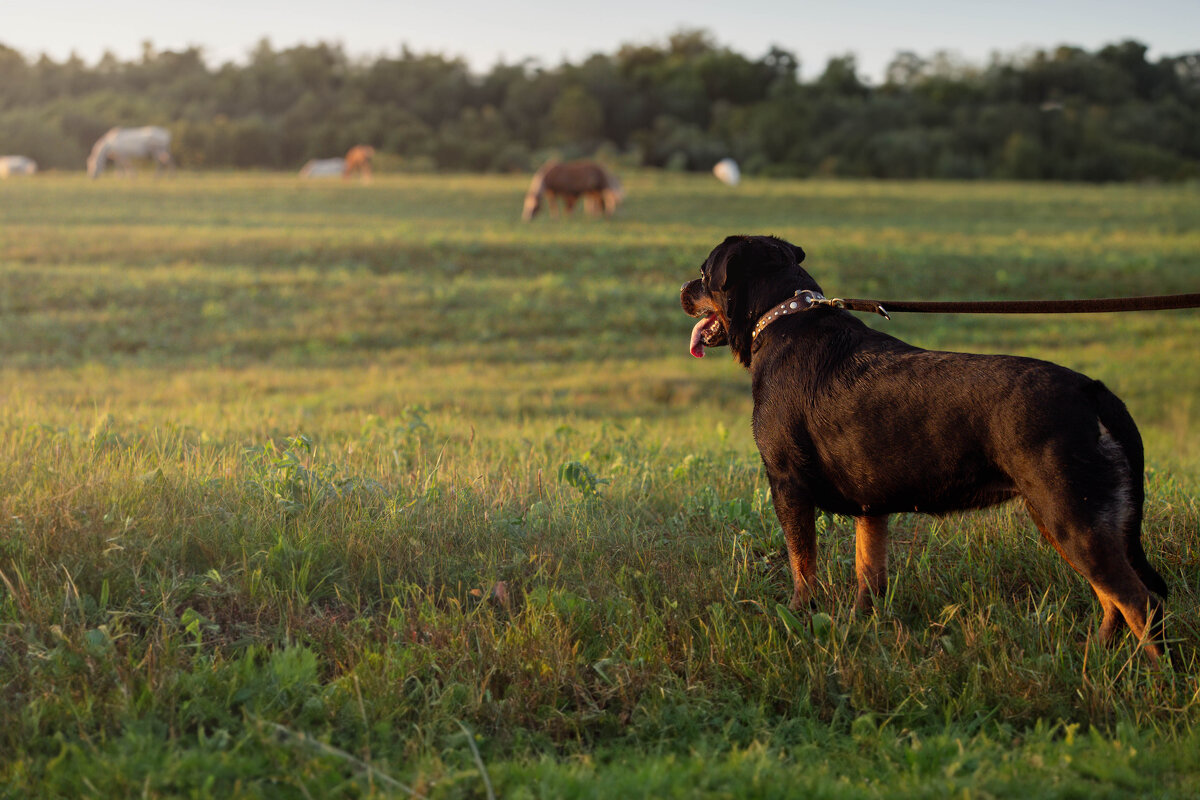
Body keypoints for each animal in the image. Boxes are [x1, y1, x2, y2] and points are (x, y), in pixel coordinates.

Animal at [691, 235, 1166, 662]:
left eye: (703, 273)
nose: (683, 290)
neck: (783, 318)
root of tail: (1091, 390)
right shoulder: (871, 507)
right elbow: (869, 571)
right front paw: (862, 625)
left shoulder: (787, 486)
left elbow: (802, 567)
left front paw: (799, 618)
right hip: (1076, 518)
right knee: (1118, 596)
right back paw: (1096, 656)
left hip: (1071, 515)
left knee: (1138, 599)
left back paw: (1154, 676)